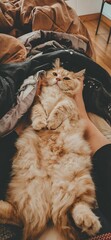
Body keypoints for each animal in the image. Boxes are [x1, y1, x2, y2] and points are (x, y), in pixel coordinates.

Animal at [0, 58, 101, 240]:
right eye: (55, 73)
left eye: (66, 78)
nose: (58, 79)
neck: (55, 92)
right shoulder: (37, 103)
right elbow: (39, 111)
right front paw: (41, 124)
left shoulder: (70, 105)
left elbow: (59, 108)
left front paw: (52, 123)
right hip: (22, 196)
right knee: (15, 216)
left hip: (81, 181)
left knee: (78, 205)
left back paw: (89, 222)